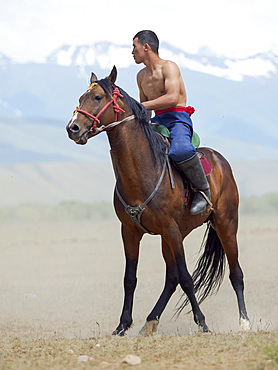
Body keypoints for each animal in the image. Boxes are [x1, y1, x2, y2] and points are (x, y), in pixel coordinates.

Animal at [66, 66, 251, 336]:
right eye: (81, 98)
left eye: (98, 97)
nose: (73, 128)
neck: (143, 171)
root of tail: (220, 160)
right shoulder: (130, 231)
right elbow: (130, 279)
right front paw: (122, 325)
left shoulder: (170, 228)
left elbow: (187, 278)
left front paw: (202, 322)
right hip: (175, 235)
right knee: (171, 278)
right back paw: (150, 321)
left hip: (225, 224)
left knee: (235, 273)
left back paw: (244, 322)